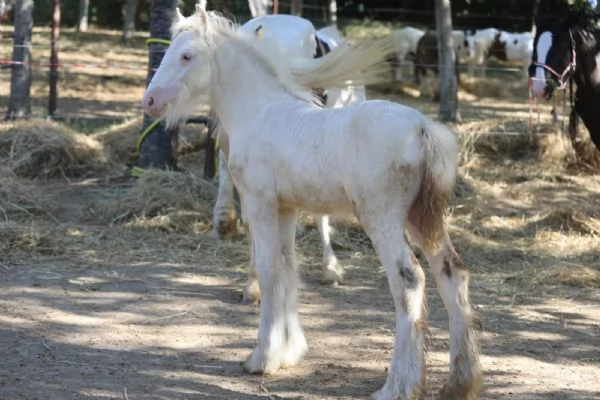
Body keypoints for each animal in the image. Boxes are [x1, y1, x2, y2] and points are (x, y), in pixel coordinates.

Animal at [143, 3, 486, 400]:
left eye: (186, 56)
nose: (149, 101)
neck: (259, 109)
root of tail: (422, 129)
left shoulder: (259, 203)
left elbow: (268, 269)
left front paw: (261, 357)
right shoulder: (286, 209)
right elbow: (288, 269)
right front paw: (290, 351)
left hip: (382, 219)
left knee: (410, 281)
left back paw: (398, 385)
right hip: (423, 219)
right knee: (453, 275)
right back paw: (460, 382)